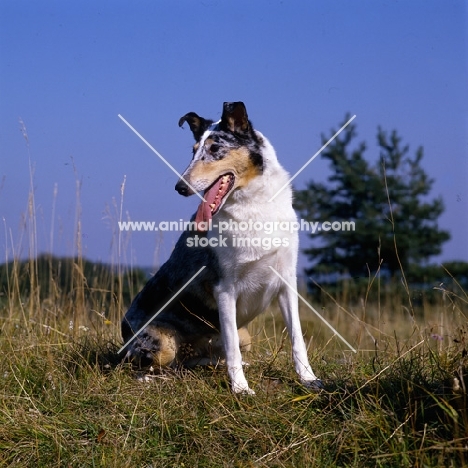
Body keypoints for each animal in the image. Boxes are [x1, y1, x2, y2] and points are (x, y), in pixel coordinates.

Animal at [122, 102, 324, 394]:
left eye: (215, 148)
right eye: (194, 151)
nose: (180, 187)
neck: (253, 206)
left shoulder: (286, 282)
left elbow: (297, 339)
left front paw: (308, 378)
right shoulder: (224, 289)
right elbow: (232, 351)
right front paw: (241, 389)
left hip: (244, 335)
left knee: (199, 360)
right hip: (160, 344)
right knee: (146, 367)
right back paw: (156, 378)